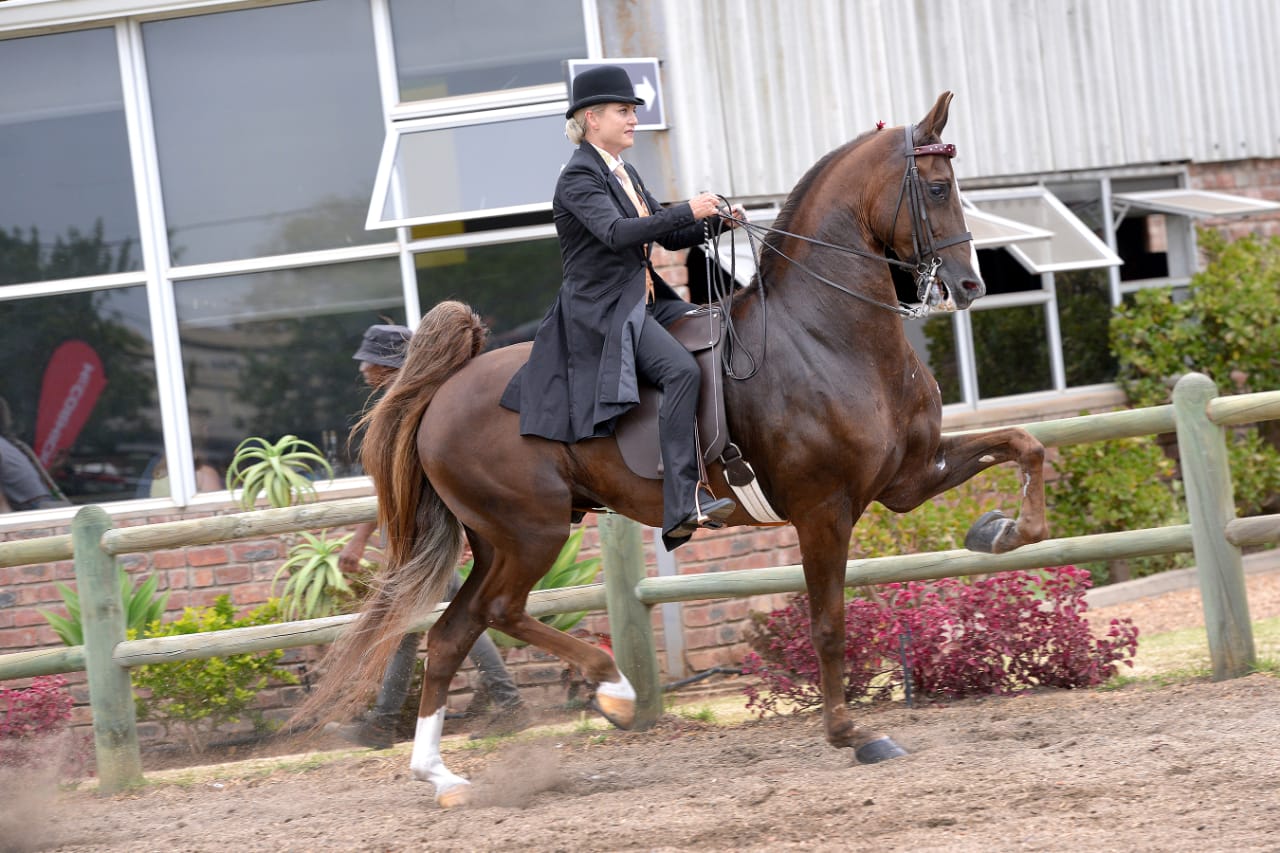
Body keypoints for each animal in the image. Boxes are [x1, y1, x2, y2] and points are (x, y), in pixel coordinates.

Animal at [302, 91, 1048, 808]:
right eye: (936, 187)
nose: (970, 287)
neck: (827, 335)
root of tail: (444, 392)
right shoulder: (824, 511)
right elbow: (828, 624)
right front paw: (851, 733)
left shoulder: (907, 479)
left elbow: (1025, 444)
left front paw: (1000, 530)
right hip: (531, 532)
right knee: (500, 613)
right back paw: (612, 690)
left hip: (496, 540)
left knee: (452, 632)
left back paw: (443, 777)